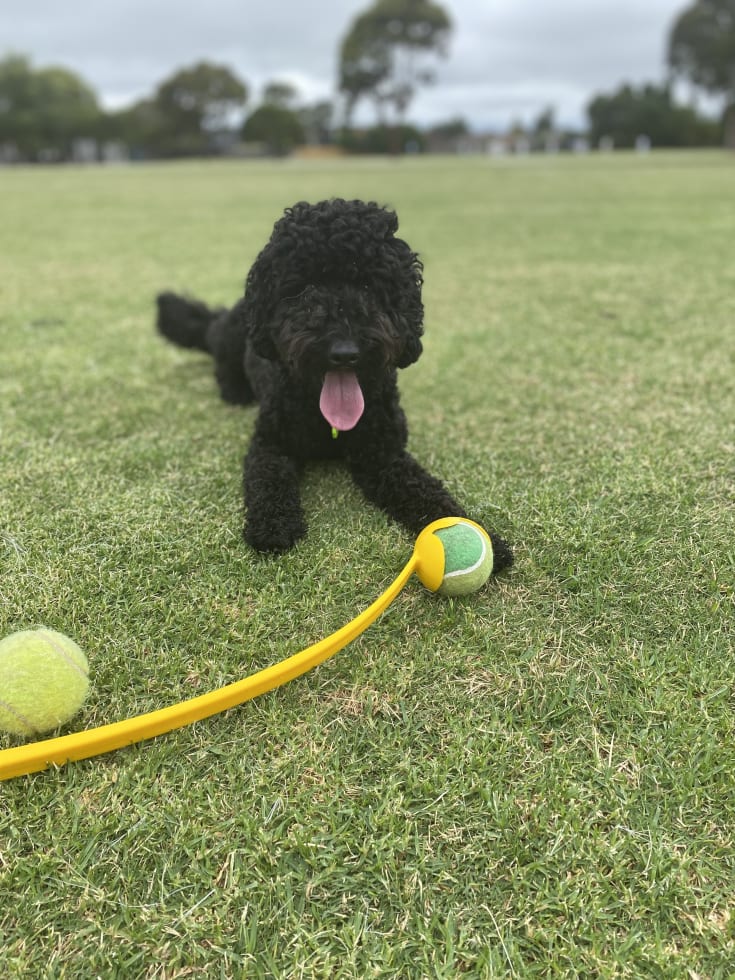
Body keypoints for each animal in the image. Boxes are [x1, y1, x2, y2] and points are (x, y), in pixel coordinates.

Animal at [157, 196, 512, 572]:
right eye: (305, 288)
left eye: (369, 286)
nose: (344, 351)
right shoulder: (271, 443)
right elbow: (266, 479)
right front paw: (273, 525)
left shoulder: (384, 456)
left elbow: (428, 493)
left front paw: (481, 538)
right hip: (232, 334)